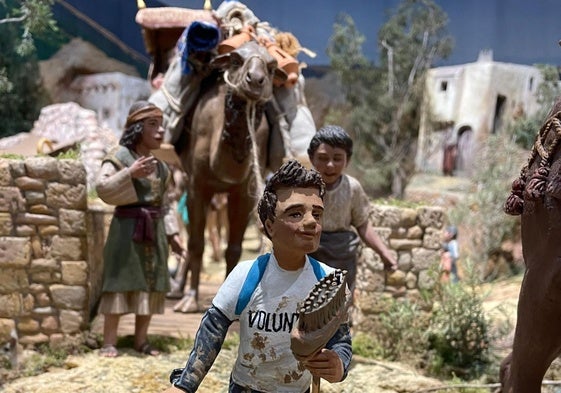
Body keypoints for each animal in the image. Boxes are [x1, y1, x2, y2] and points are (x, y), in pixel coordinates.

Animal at [170, 40, 284, 312]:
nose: (255, 79)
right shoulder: (197, 185)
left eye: (272, 67)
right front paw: (190, 300)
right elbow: (196, 243)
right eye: (235, 59)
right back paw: (177, 291)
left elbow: (234, 248)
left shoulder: (243, 192)